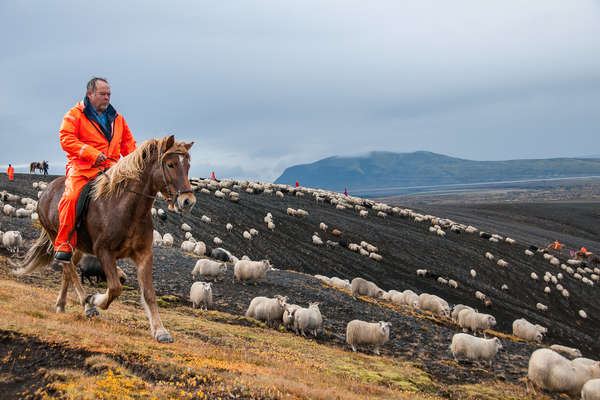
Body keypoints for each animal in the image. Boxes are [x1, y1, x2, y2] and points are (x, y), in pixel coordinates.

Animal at [14, 136, 196, 342]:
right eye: (171, 164)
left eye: (187, 165)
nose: (188, 201)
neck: (125, 207)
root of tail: (46, 192)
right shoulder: (104, 252)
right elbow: (115, 287)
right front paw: (94, 299)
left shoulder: (144, 254)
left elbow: (149, 293)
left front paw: (160, 331)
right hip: (58, 239)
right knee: (70, 270)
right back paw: (87, 305)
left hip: (77, 247)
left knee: (67, 271)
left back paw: (61, 304)